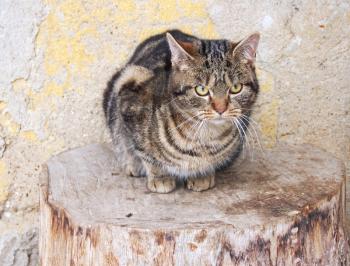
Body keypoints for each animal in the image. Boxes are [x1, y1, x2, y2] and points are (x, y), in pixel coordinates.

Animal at [103, 29, 260, 193]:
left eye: (236, 88)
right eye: (201, 90)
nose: (220, 108)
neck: (205, 136)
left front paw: (202, 174)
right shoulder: (130, 101)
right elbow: (145, 153)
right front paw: (160, 177)